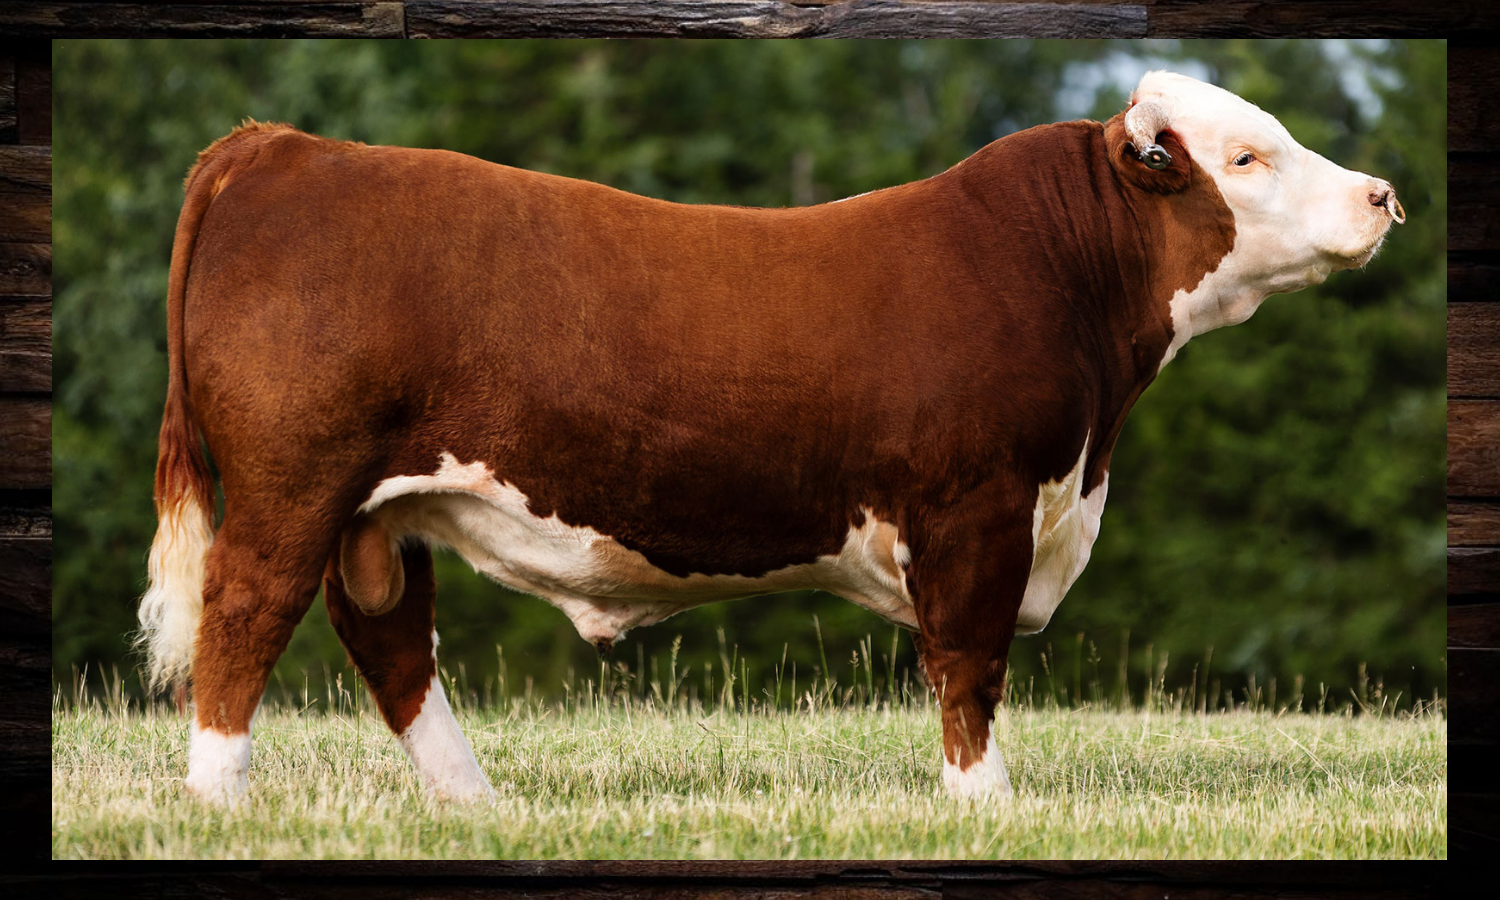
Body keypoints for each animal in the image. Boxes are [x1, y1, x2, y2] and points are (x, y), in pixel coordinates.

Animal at [137, 71, 1403, 805]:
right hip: (292, 486)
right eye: (1244, 158)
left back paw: (475, 809)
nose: (1384, 195)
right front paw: (985, 811)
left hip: (376, 513)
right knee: (243, 618)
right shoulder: (975, 510)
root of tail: (285, 148)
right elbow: (968, 667)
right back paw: (218, 803)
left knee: (392, 643)